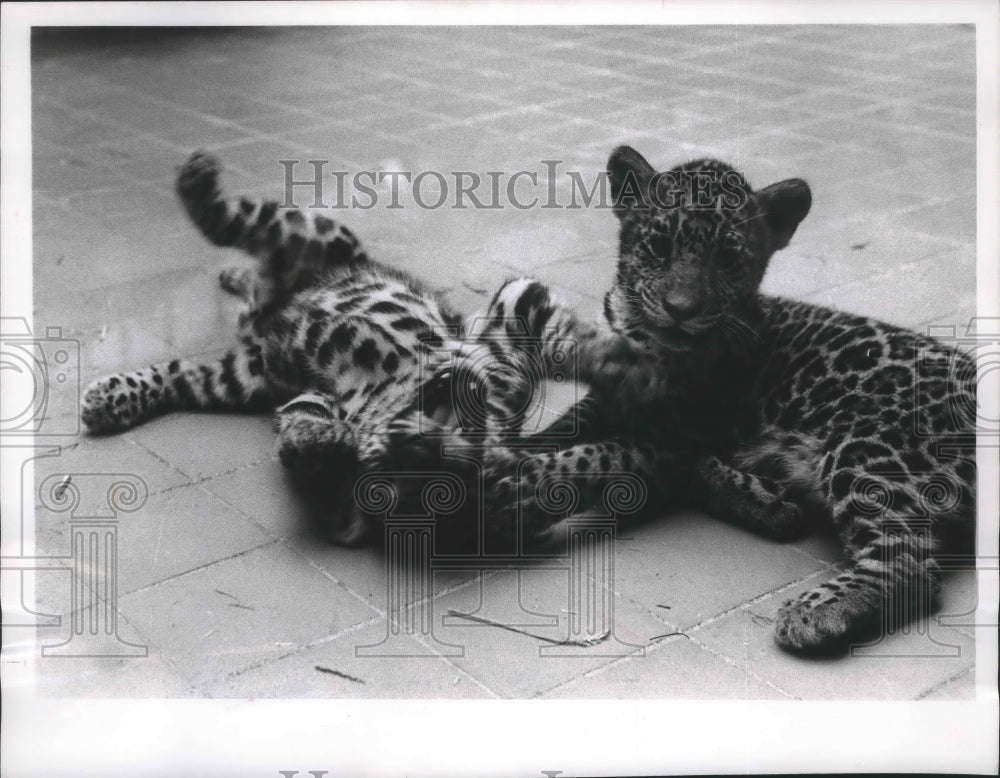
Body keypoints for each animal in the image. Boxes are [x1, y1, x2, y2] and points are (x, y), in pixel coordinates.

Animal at [80, 150, 612, 547]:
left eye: (416, 476)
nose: (423, 439)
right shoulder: (504, 322)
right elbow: (555, 336)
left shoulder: (301, 391)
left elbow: (300, 430)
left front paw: (330, 445)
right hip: (314, 238)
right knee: (241, 225)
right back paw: (202, 188)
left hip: (247, 373)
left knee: (192, 367)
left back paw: (110, 396)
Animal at [474, 145, 977, 654]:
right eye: (660, 246)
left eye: (728, 257)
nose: (681, 309)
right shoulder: (606, 405)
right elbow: (560, 432)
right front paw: (514, 453)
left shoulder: (671, 435)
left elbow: (588, 458)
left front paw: (508, 490)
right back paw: (763, 499)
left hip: (869, 443)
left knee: (910, 565)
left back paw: (813, 609)